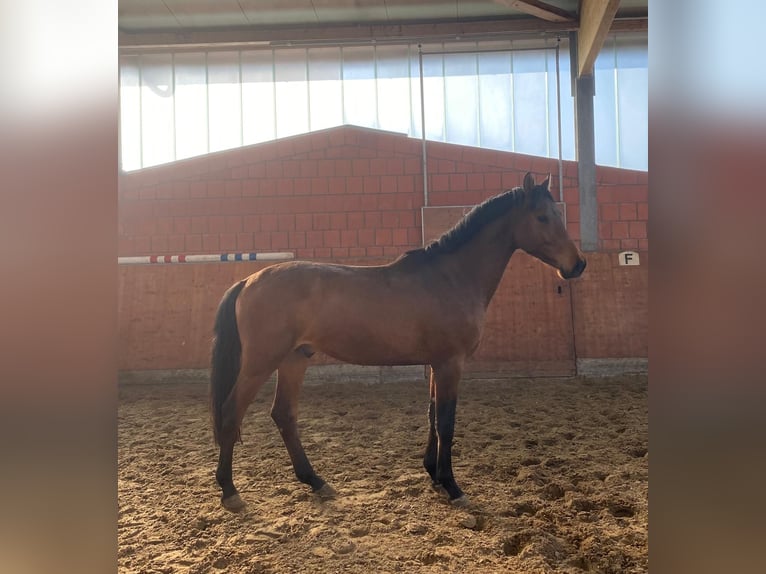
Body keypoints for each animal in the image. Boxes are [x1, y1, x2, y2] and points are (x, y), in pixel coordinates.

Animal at [210, 172, 586, 512]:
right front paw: (452, 487)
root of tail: (248, 281)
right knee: (231, 413)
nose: (578, 264)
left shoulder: (437, 363)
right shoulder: (451, 363)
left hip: (294, 359)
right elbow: (446, 421)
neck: (451, 277)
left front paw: (433, 474)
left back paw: (316, 481)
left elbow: (432, 415)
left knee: (284, 415)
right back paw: (230, 491)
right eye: (542, 217)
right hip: (260, 363)